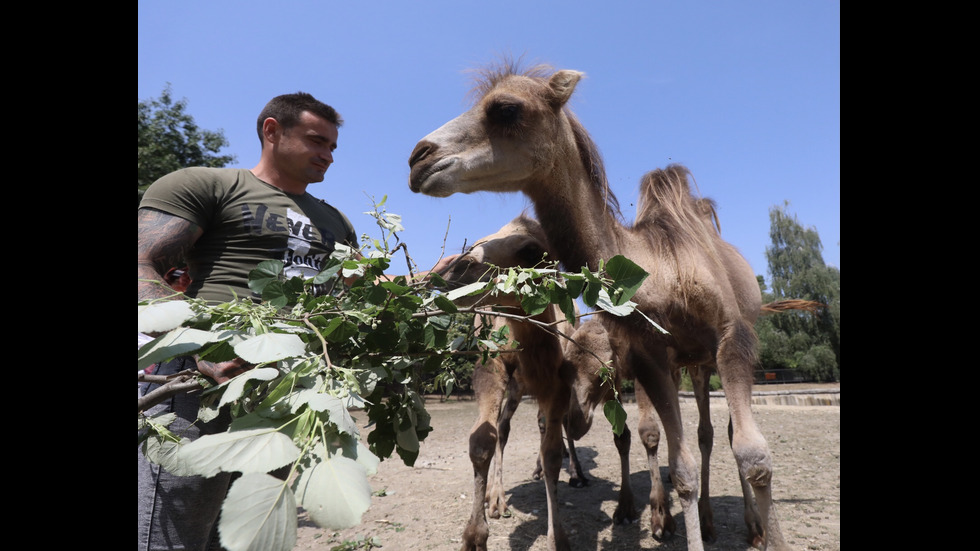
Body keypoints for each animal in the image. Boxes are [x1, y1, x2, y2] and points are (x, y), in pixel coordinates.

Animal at [410, 62, 792, 548]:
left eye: (506, 108)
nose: (418, 158)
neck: (661, 270)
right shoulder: (652, 356)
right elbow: (680, 465)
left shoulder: (730, 338)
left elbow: (755, 457)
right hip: (691, 362)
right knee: (704, 434)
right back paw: (706, 519)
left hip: (715, 353)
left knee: (722, 434)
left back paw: (751, 526)